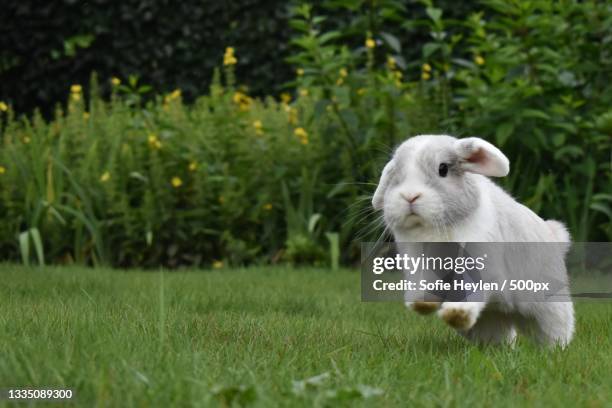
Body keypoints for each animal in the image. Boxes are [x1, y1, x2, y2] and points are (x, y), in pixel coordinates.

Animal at [370, 135, 576, 346]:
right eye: (396, 173)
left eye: (443, 169)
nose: (409, 196)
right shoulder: (419, 261)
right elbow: (424, 282)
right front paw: (421, 303)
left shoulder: (480, 265)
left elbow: (470, 288)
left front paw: (455, 313)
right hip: (491, 321)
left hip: (549, 307)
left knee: (555, 330)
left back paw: (556, 348)